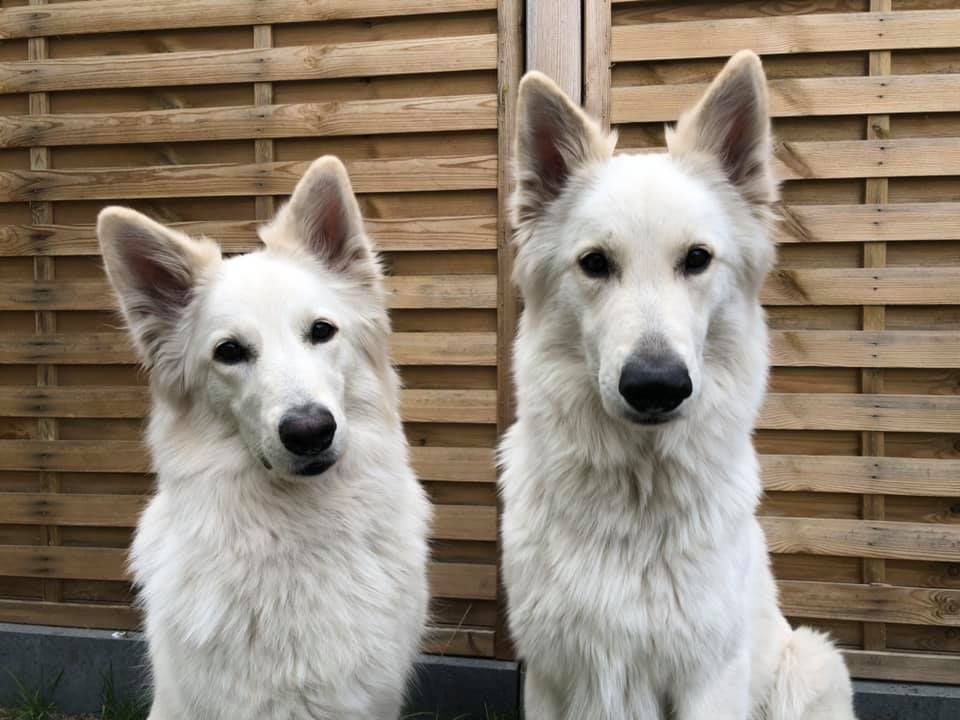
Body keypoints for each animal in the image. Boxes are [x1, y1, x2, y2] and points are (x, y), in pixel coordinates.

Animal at [498, 52, 857, 719]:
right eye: (594, 263)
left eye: (696, 259)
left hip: (810, 662)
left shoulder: (706, 678)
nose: (656, 385)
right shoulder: (550, 676)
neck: (636, 499)